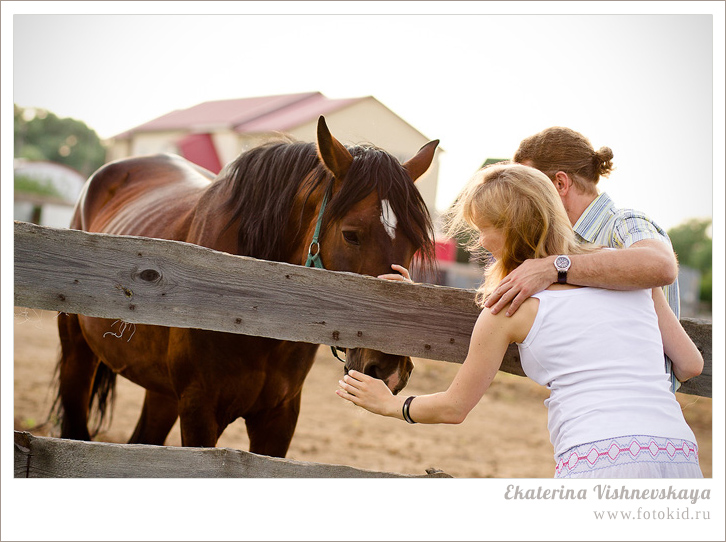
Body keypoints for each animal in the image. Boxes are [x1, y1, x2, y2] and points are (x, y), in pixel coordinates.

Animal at [55, 118, 438, 460]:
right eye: (351, 234)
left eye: (414, 244)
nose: (388, 368)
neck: (251, 304)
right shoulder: (199, 408)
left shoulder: (279, 417)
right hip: (78, 355)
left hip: (161, 391)